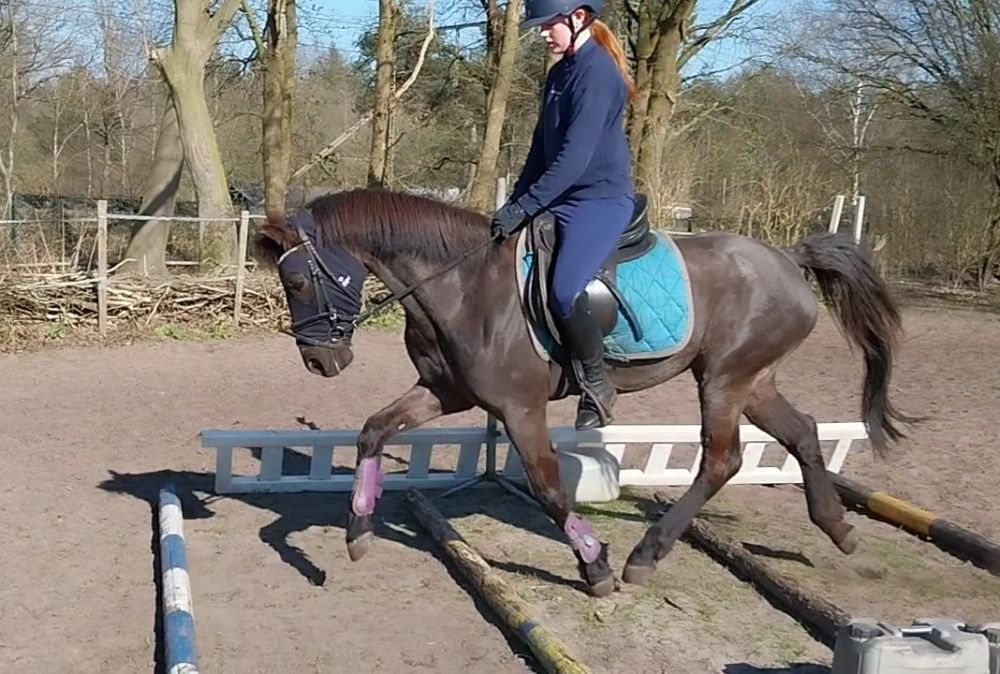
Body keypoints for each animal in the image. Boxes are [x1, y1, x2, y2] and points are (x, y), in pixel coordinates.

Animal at [251, 187, 913, 598]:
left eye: (296, 281)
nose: (320, 361)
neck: (464, 286)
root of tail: (788, 257)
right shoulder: (446, 393)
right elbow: (372, 430)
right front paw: (357, 534)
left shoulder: (518, 408)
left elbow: (549, 486)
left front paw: (594, 567)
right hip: (752, 380)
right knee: (802, 432)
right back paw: (838, 529)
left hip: (725, 379)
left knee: (722, 459)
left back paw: (644, 556)